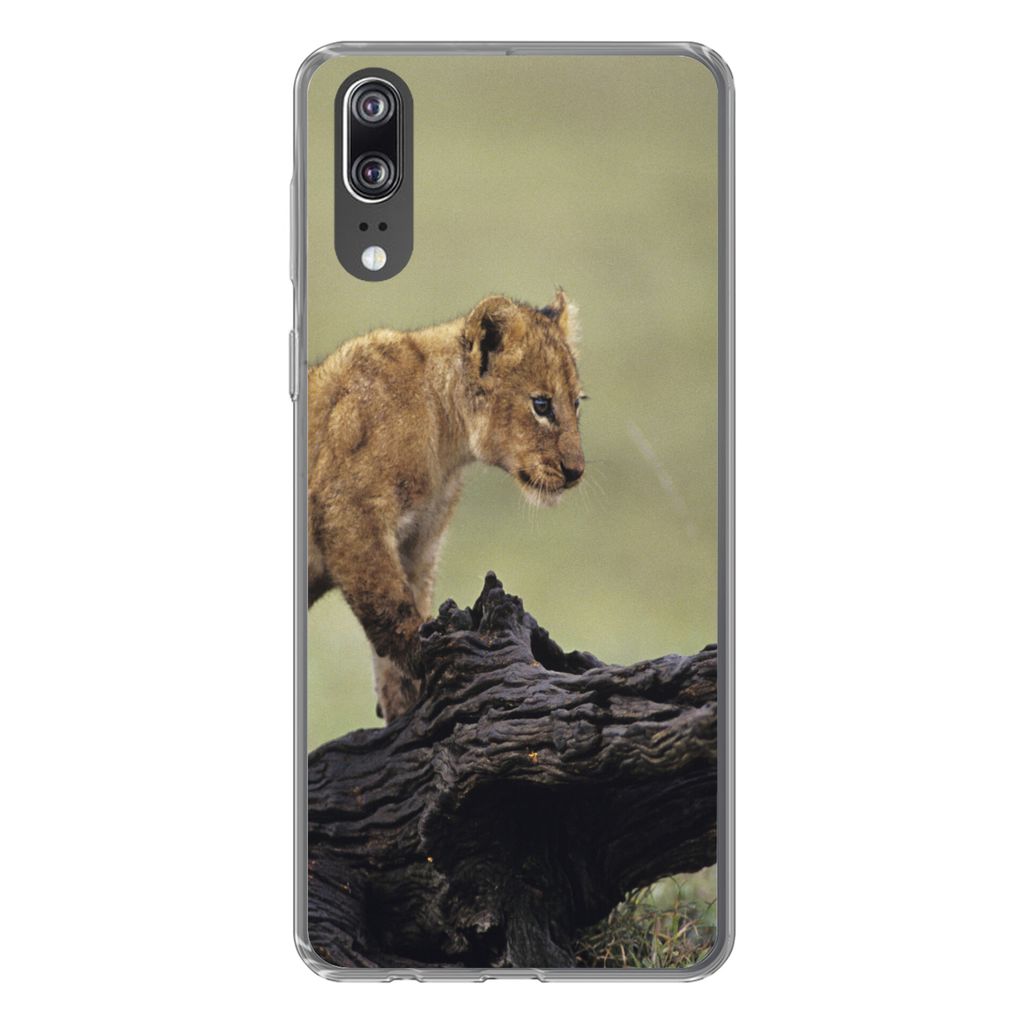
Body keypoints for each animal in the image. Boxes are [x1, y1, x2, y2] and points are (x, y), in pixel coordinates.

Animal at [307, 291, 585, 721]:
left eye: (577, 403)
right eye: (541, 405)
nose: (576, 472)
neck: (445, 437)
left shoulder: (418, 543)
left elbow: (402, 620)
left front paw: (404, 704)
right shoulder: (348, 513)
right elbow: (391, 610)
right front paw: (427, 658)